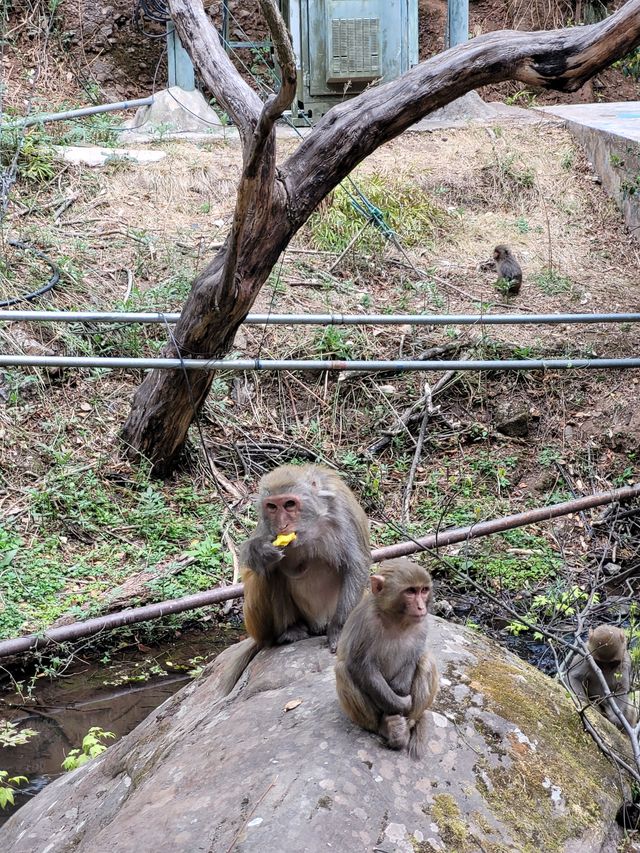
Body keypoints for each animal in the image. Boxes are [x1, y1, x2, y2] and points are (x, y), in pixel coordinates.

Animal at [240, 462, 370, 648]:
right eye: (272, 507)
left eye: (289, 504)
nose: (282, 526)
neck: (312, 526)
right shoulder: (266, 526)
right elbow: (251, 565)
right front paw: (260, 551)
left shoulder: (344, 511)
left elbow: (356, 565)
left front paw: (338, 630)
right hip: (260, 628)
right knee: (270, 574)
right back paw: (290, 630)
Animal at [332, 560, 438, 760]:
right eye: (410, 591)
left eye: (424, 590)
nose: (421, 607)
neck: (396, 619)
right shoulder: (366, 623)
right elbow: (361, 667)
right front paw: (401, 703)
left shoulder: (422, 623)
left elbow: (414, 657)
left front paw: (400, 688)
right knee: (342, 670)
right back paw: (386, 728)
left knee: (427, 660)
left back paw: (410, 723)